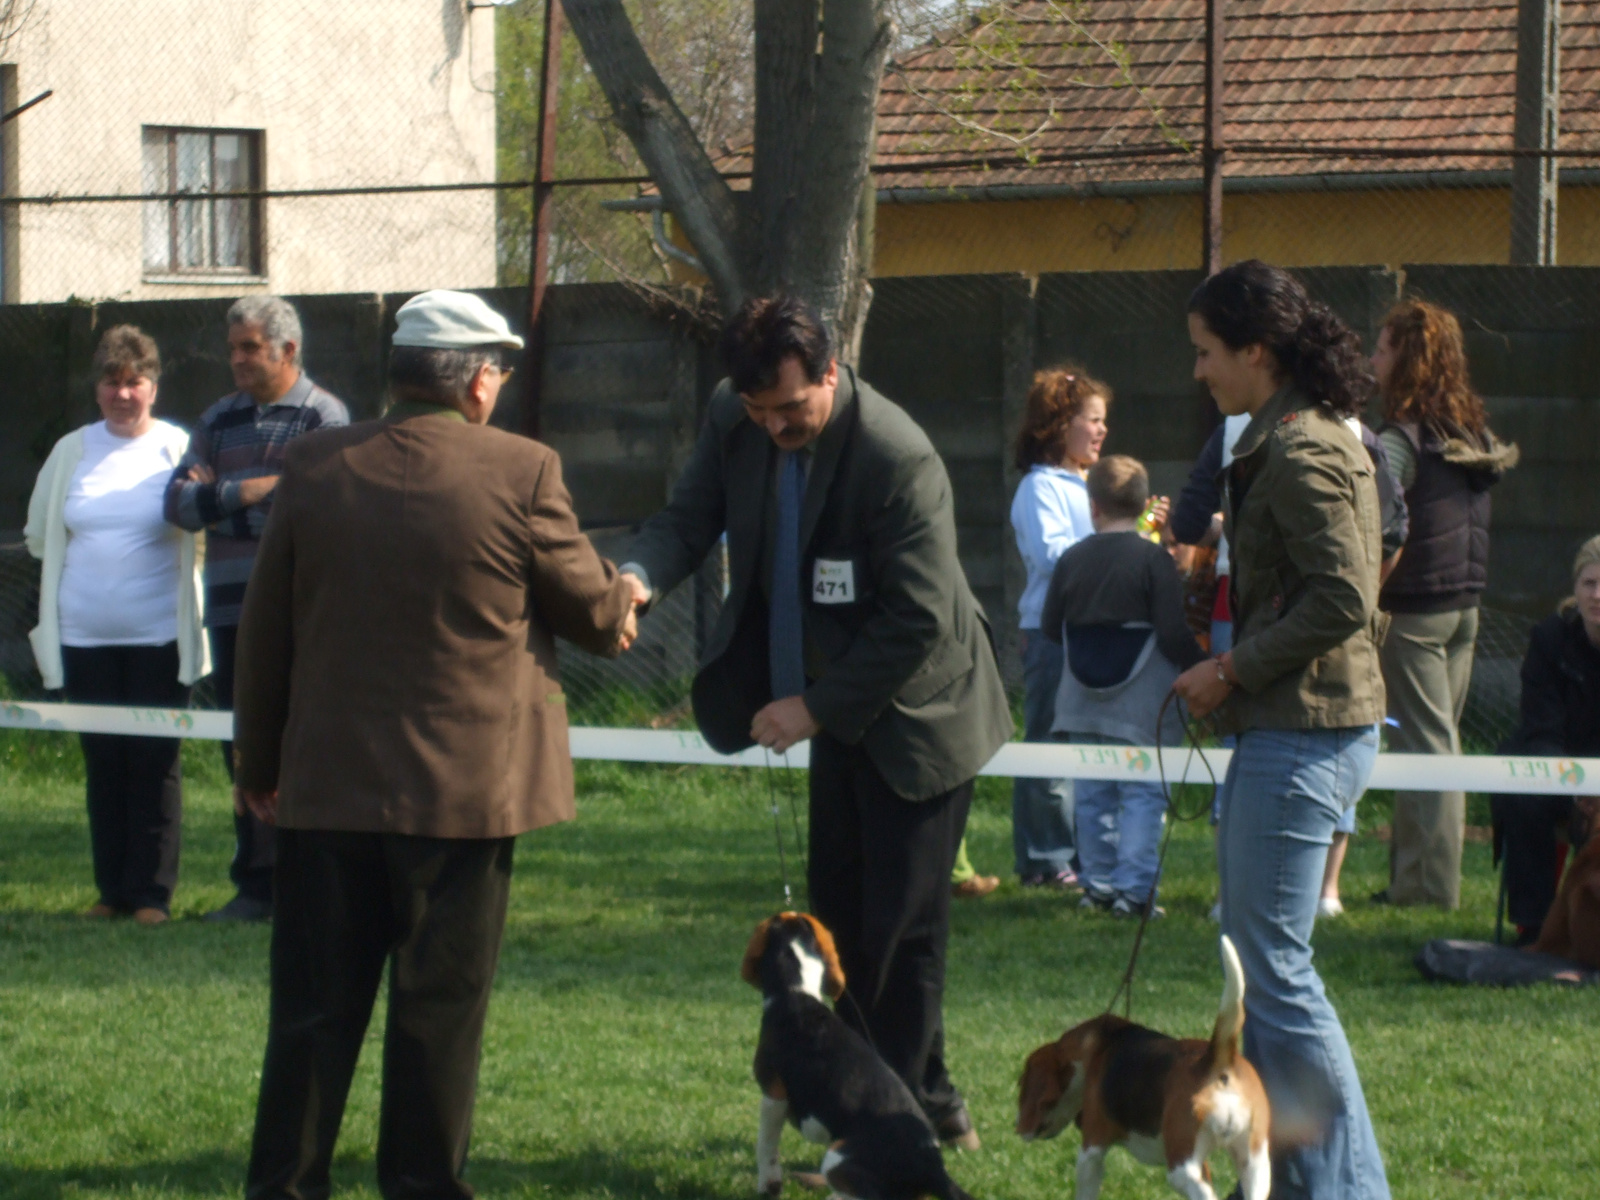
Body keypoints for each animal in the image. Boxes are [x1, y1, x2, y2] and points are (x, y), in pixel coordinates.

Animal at [742, 908, 979, 1200]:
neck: (797, 992)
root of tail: (934, 1167)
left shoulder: (773, 1095)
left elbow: (766, 1146)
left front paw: (768, 1185)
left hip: (836, 1156)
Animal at [1017, 940, 1267, 1200]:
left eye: (1022, 1084)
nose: (1018, 1126)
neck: (1097, 1044)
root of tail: (1216, 1059)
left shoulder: (1092, 1148)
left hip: (1180, 1166)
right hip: (1254, 1162)